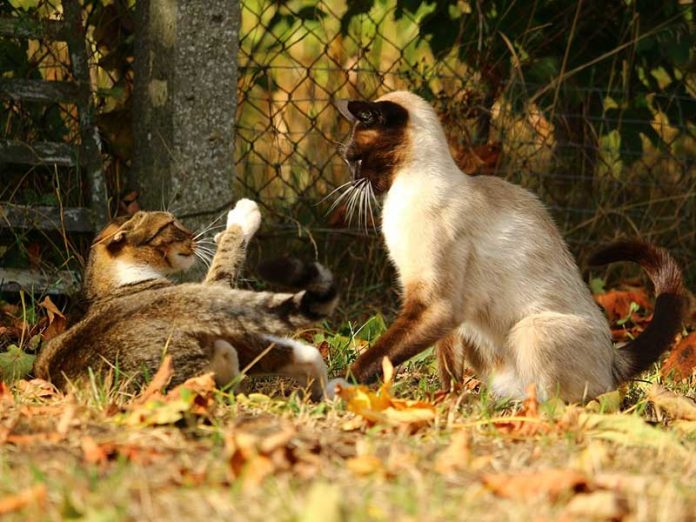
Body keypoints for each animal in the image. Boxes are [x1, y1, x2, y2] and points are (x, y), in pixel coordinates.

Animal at [34, 197, 340, 396]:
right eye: (171, 224)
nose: (193, 234)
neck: (113, 281)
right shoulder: (218, 295)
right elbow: (226, 257)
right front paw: (243, 215)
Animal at [336, 90, 684, 398]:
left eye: (355, 159)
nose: (352, 180)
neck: (402, 193)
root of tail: (614, 358)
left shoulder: (435, 303)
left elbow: (380, 354)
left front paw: (345, 383)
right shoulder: (442, 312)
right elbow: (448, 368)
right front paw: (445, 401)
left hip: (531, 330)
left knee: (580, 400)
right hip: (475, 330)